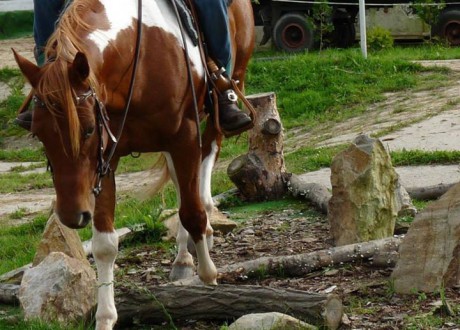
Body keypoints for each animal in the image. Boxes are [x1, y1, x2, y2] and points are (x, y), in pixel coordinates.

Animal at [13, 0, 255, 328]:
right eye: (39, 133)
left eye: (88, 129)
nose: (72, 216)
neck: (137, 63)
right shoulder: (106, 157)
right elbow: (104, 245)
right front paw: (105, 317)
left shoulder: (184, 135)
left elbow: (192, 212)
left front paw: (209, 278)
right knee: (182, 186)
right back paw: (183, 257)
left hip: (223, 100)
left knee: (202, 174)